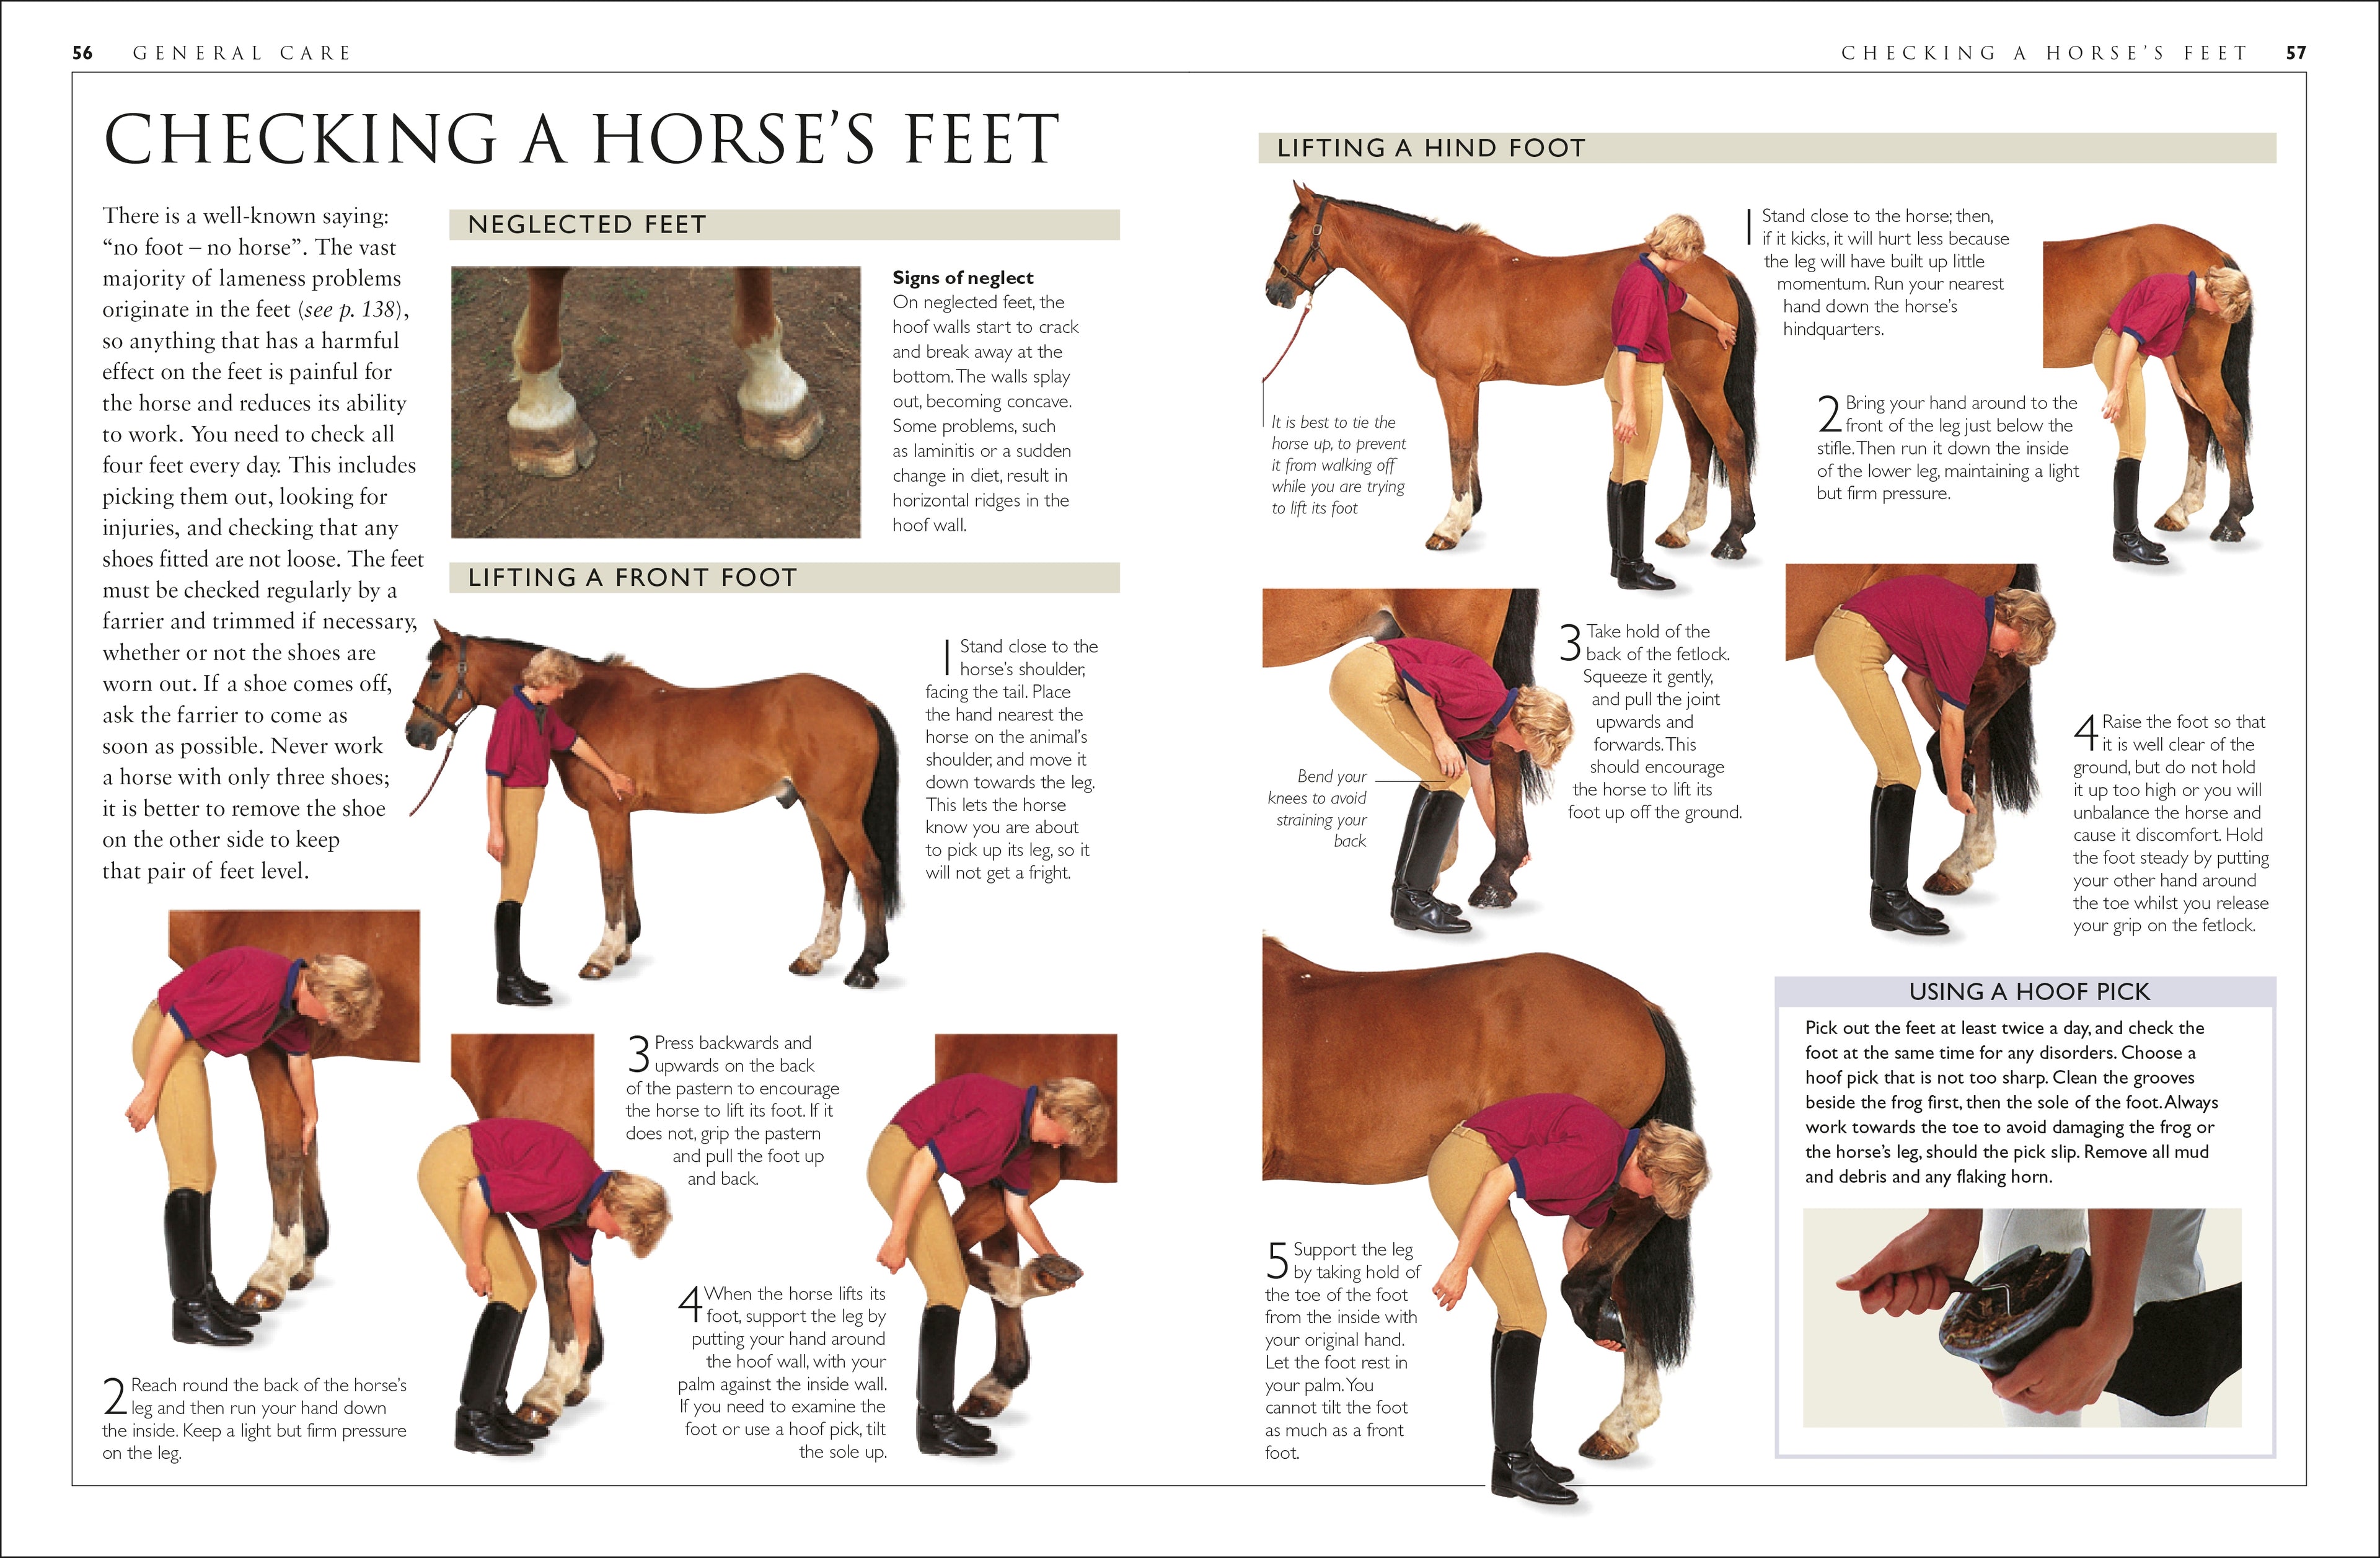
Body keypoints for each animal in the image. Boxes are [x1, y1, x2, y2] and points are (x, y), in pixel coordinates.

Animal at [404, 624, 898, 988]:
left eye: (435, 674)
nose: (415, 734)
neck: (589, 703)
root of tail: (860, 702)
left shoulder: (605, 812)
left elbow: (609, 877)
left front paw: (601, 957)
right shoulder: (620, 813)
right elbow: (627, 871)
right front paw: (624, 945)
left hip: (838, 814)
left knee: (868, 871)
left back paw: (865, 966)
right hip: (816, 810)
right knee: (835, 872)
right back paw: (815, 955)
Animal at [1263, 184, 1759, 557]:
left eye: (1293, 234)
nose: (1274, 291)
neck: (1438, 273)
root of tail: (1719, 271)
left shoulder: (1454, 382)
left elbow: (1458, 448)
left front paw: (1447, 528)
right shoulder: (1471, 385)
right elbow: (1473, 444)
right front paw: (1467, 518)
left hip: (1699, 385)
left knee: (1730, 441)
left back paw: (1734, 537)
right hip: (1676, 382)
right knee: (1699, 445)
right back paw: (1681, 528)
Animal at [2042, 227, 2253, 541]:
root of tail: (2216, 254)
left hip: (2199, 370)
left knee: (2226, 423)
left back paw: (2231, 519)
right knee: (2197, 423)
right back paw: (2181, 510)